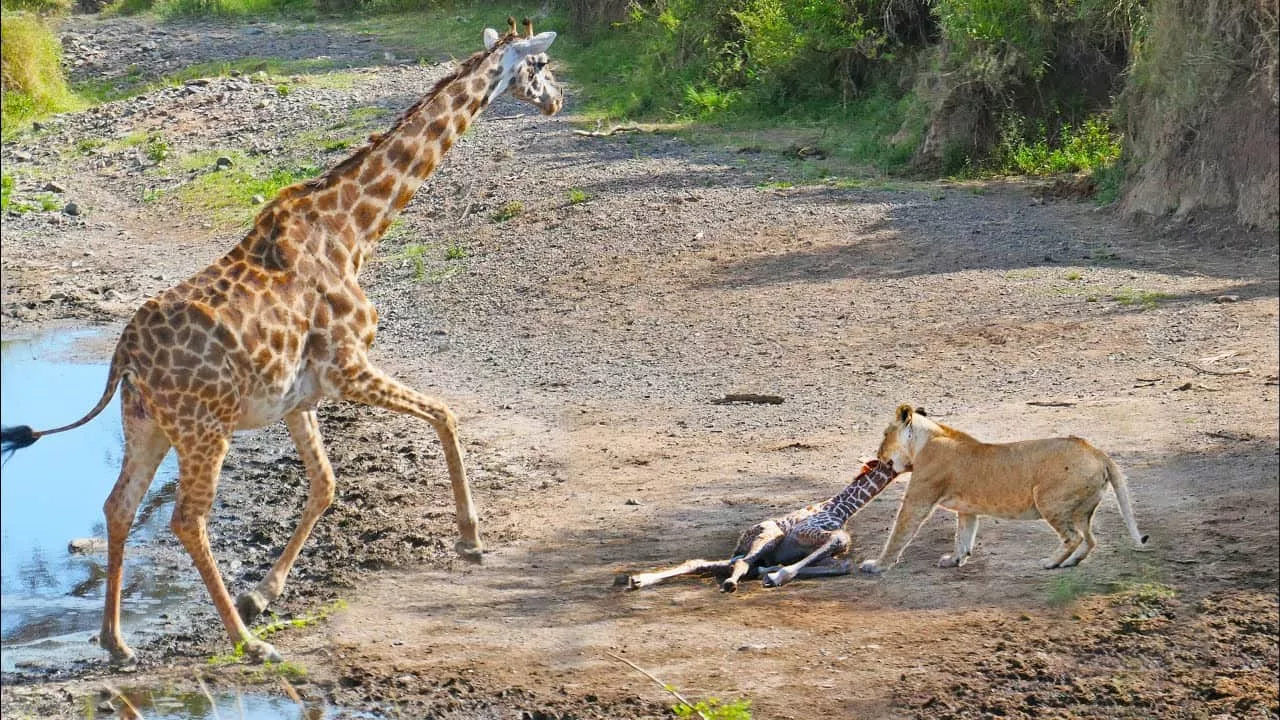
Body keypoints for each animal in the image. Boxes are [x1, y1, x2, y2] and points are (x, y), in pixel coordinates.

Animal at [1, 16, 560, 661]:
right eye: (541, 66)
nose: (557, 100)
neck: (353, 230)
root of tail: (124, 355)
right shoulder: (348, 368)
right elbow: (444, 413)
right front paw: (471, 537)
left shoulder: (300, 397)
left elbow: (326, 485)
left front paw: (262, 594)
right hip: (204, 428)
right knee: (186, 519)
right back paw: (247, 644)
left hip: (147, 424)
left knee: (120, 505)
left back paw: (118, 642)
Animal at [619, 456, 901, 591]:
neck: (843, 507)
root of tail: (742, 539)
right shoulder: (808, 531)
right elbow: (839, 538)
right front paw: (777, 575)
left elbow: (843, 563)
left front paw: (774, 572)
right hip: (768, 535)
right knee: (740, 564)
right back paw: (733, 583)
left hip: (754, 548)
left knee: (709, 563)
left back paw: (638, 580)